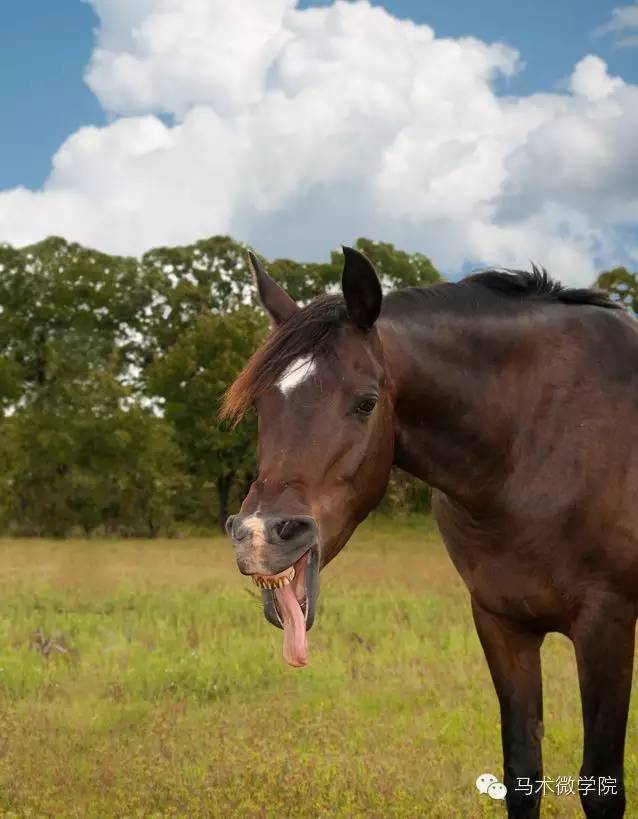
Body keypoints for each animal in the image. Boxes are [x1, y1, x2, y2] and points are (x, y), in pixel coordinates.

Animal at [222, 247, 636, 816]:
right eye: (263, 404)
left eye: (366, 402)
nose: (260, 536)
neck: (537, 439)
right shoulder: (501, 621)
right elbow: (522, 770)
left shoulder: (606, 623)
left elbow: (601, 784)